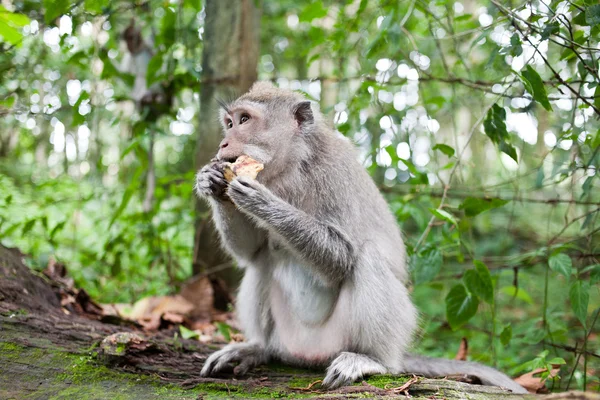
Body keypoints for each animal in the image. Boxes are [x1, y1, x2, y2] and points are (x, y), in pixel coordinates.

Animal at [195, 82, 528, 394]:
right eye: (229, 122)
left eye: (245, 119)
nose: (223, 142)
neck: (291, 167)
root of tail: (305, 354)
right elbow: (250, 253)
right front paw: (211, 181)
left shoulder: (334, 173)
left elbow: (341, 259)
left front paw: (261, 200)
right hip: (287, 337)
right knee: (262, 263)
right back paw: (258, 348)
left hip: (339, 339)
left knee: (367, 258)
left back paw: (372, 360)